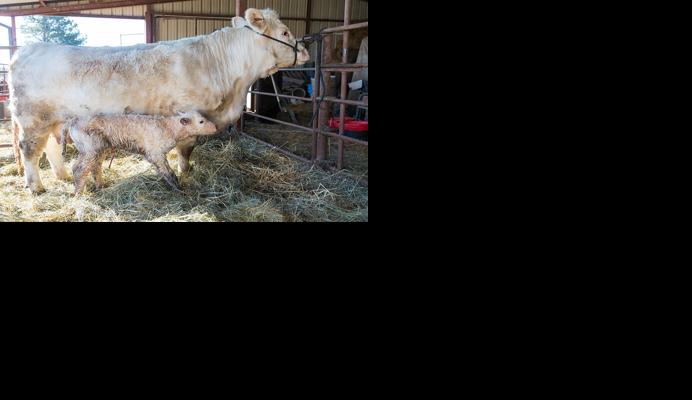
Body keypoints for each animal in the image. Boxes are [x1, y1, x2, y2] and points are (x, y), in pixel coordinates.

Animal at [64, 111, 218, 193]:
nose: (216, 127)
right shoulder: (155, 153)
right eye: (201, 121)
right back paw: (78, 193)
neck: (169, 128)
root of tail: (72, 121)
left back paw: (101, 186)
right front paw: (178, 187)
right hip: (88, 148)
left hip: (100, 148)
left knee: (95, 167)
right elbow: (168, 172)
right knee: (78, 169)